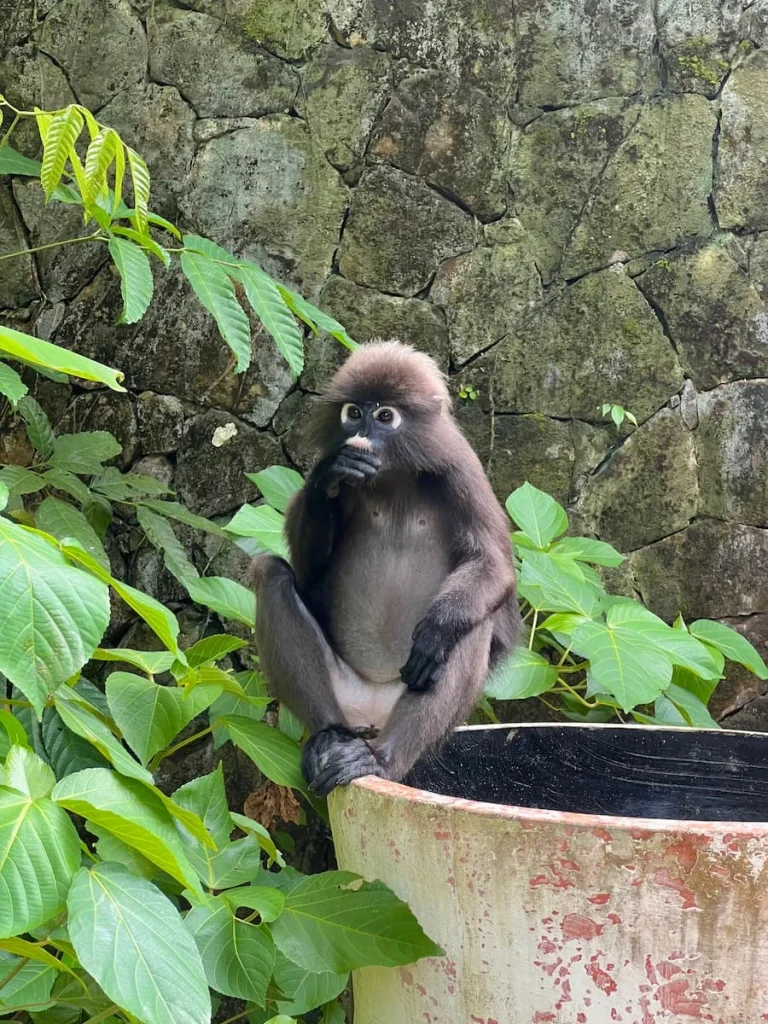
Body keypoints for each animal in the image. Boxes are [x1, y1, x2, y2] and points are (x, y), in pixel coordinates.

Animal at [252, 340, 520, 796]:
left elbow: (493, 564)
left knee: (473, 625)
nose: (363, 433)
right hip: (345, 696)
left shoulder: (460, 470)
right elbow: (306, 572)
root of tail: (373, 717)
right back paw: (329, 738)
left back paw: (381, 760)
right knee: (272, 574)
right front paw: (329, 475)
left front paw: (436, 630)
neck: (395, 478)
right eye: (353, 412)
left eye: (384, 417)